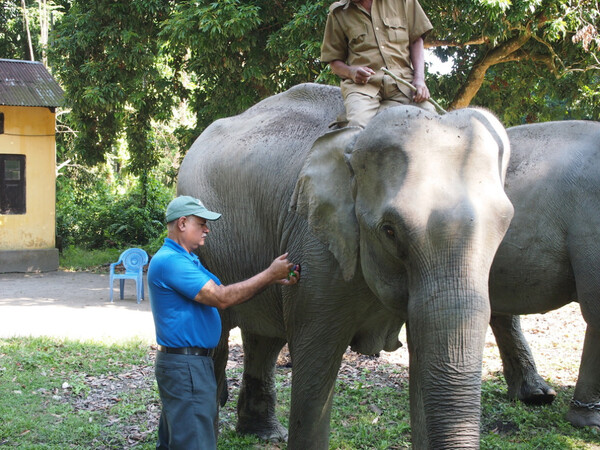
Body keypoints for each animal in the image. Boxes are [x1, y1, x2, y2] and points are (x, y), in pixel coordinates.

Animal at [176, 82, 512, 448]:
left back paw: (265, 433)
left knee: (264, 339)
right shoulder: (314, 247)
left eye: (505, 224)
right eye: (390, 231)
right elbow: (316, 364)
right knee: (214, 339)